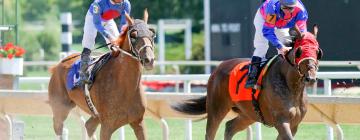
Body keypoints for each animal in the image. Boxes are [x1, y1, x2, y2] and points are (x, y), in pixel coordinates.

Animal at [47, 10, 155, 140]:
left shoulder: (139, 123)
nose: (149, 59)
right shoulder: (107, 126)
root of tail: (57, 65)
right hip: (60, 109)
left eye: (152, 34)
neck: (126, 86)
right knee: (58, 127)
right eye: (133, 35)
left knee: (88, 126)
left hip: (95, 115)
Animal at [173, 25, 322, 140]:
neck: (292, 87)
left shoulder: (294, 124)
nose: (310, 78)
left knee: (229, 127)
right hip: (216, 109)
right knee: (210, 133)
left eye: (317, 51)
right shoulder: (281, 121)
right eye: (299, 51)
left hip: (248, 114)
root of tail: (218, 67)